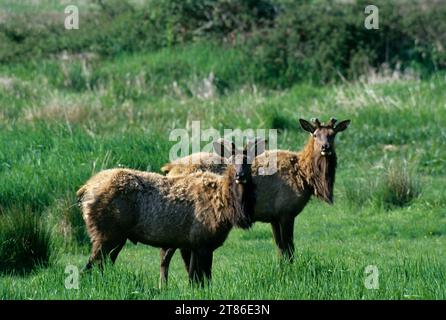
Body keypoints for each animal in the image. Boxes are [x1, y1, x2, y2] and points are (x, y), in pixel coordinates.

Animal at [76, 138, 264, 284]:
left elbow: (195, 280)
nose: (240, 176)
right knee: (88, 268)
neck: (227, 209)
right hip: (106, 234)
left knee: (100, 267)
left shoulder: (194, 243)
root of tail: (84, 189)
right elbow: (204, 280)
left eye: (248, 162)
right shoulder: (203, 241)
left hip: (113, 238)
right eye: (231, 162)